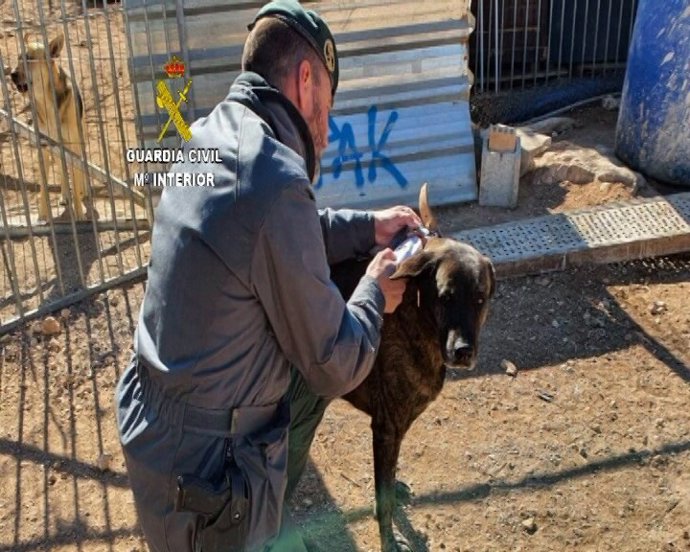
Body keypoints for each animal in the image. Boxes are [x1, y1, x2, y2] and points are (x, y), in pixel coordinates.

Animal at [10, 33, 87, 220]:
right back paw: (65, 195)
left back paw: (82, 193)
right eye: (18, 58)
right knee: (61, 168)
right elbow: (44, 185)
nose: (12, 74)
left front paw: (79, 211)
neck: (46, 101)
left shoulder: (72, 144)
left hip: (78, 142)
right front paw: (43, 214)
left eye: (29, 59)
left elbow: (75, 176)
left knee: (78, 169)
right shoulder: (43, 146)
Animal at [330, 185, 494, 552]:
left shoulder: (399, 426)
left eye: (480, 299)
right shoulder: (386, 428)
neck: (417, 316)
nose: (463, 351)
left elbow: (389, 482)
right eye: (445, 297)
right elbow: (384, 501)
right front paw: (389, 541)